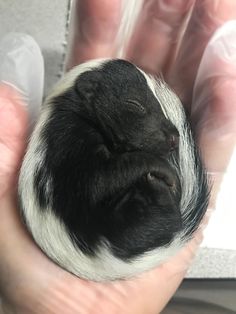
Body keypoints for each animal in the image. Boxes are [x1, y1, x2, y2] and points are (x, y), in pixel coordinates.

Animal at [19, 60, 209, 280]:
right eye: (134, 104)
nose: (173, 137)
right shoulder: (67, 144)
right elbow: (99, 180)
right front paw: (163, 169)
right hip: (129, 219)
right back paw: (156, 185)